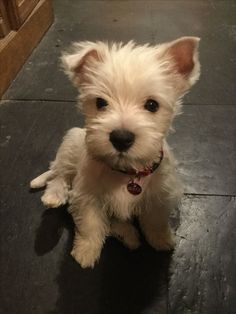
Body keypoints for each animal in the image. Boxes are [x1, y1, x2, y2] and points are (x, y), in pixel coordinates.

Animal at [29, 36, 200, 268]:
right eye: (100, 102)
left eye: (152, 105)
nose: (121, 138)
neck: (126, 172)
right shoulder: (87, 196)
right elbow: (90, 224)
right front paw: (85, 253)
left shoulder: (159, 196)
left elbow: (155, 221)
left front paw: (161, 240)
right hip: (71, 144)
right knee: (58, 175)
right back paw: (53, 196)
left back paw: (128, 235)